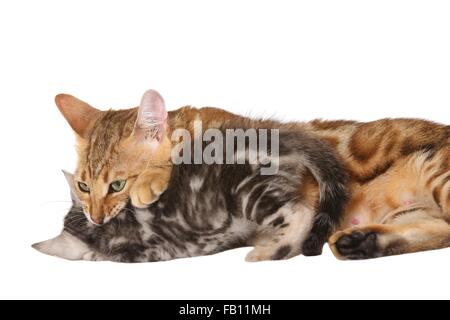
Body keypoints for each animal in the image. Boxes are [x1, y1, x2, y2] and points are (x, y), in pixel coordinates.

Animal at [56, 90, 450, 260]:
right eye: (84, 185)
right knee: (440, 231)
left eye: (117, 184)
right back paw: (363, 243)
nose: (95, 216)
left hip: (439, 171)